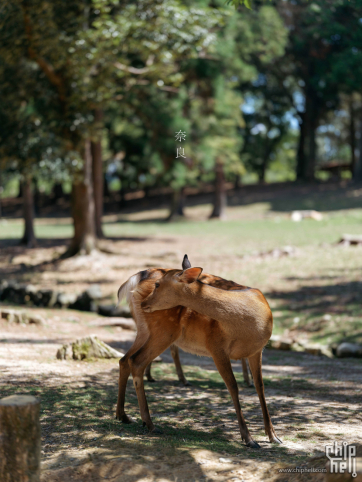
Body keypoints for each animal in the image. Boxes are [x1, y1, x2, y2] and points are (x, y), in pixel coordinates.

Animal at [116, 260, 280, 448]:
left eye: (158, 285)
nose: (144, 303)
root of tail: (136, 280)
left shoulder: (257, 350)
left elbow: (260, 387)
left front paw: (273, 436)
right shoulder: (216, 346)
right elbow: (233, 386)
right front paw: (249, 439)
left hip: (145, 330)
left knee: (125, 359)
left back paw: (123, 415)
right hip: (163, 331)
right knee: (136, 361)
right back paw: (149, 423)